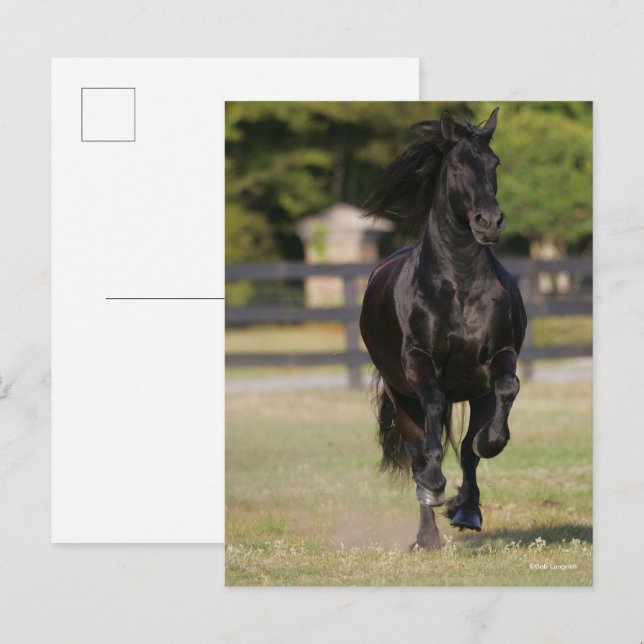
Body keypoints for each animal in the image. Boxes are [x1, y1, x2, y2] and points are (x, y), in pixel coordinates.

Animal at [359, 108, 527, 550]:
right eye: (455, 166)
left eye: (494, 163)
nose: (489, 222)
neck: (459, 286)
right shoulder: (419, 363)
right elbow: (433, 408)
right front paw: (435, 484)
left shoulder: (498, 359)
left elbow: (504, 396)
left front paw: (491, 445)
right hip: (401, 396)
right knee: (418, 449)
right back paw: (427, 530)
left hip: (476, 393)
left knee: (468, 450)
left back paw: (467, 510)